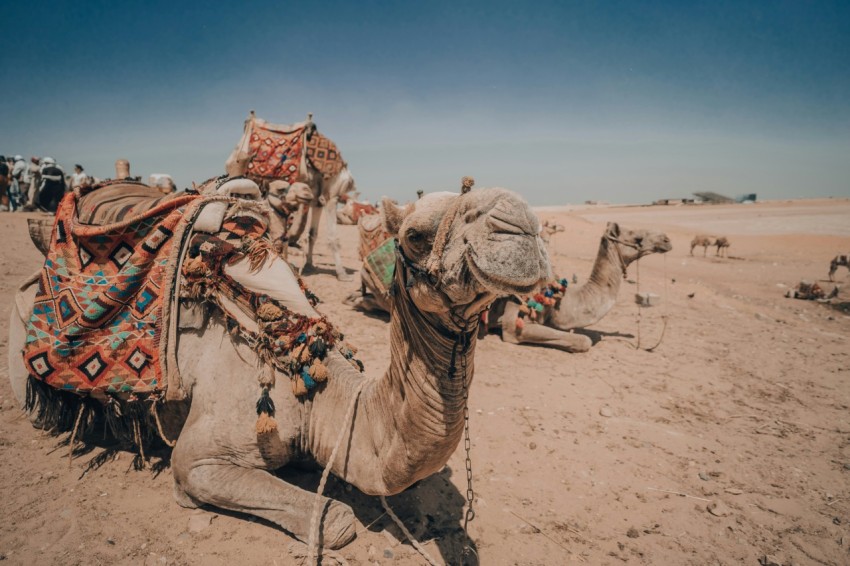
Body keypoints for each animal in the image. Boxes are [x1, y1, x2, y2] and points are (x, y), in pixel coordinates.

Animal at [225, 111, 354, 282]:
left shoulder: (317, 199)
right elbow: (333, 237)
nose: (305, 191)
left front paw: (309, 266)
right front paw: (342, 274)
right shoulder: (331, 195)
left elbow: (312, 234)